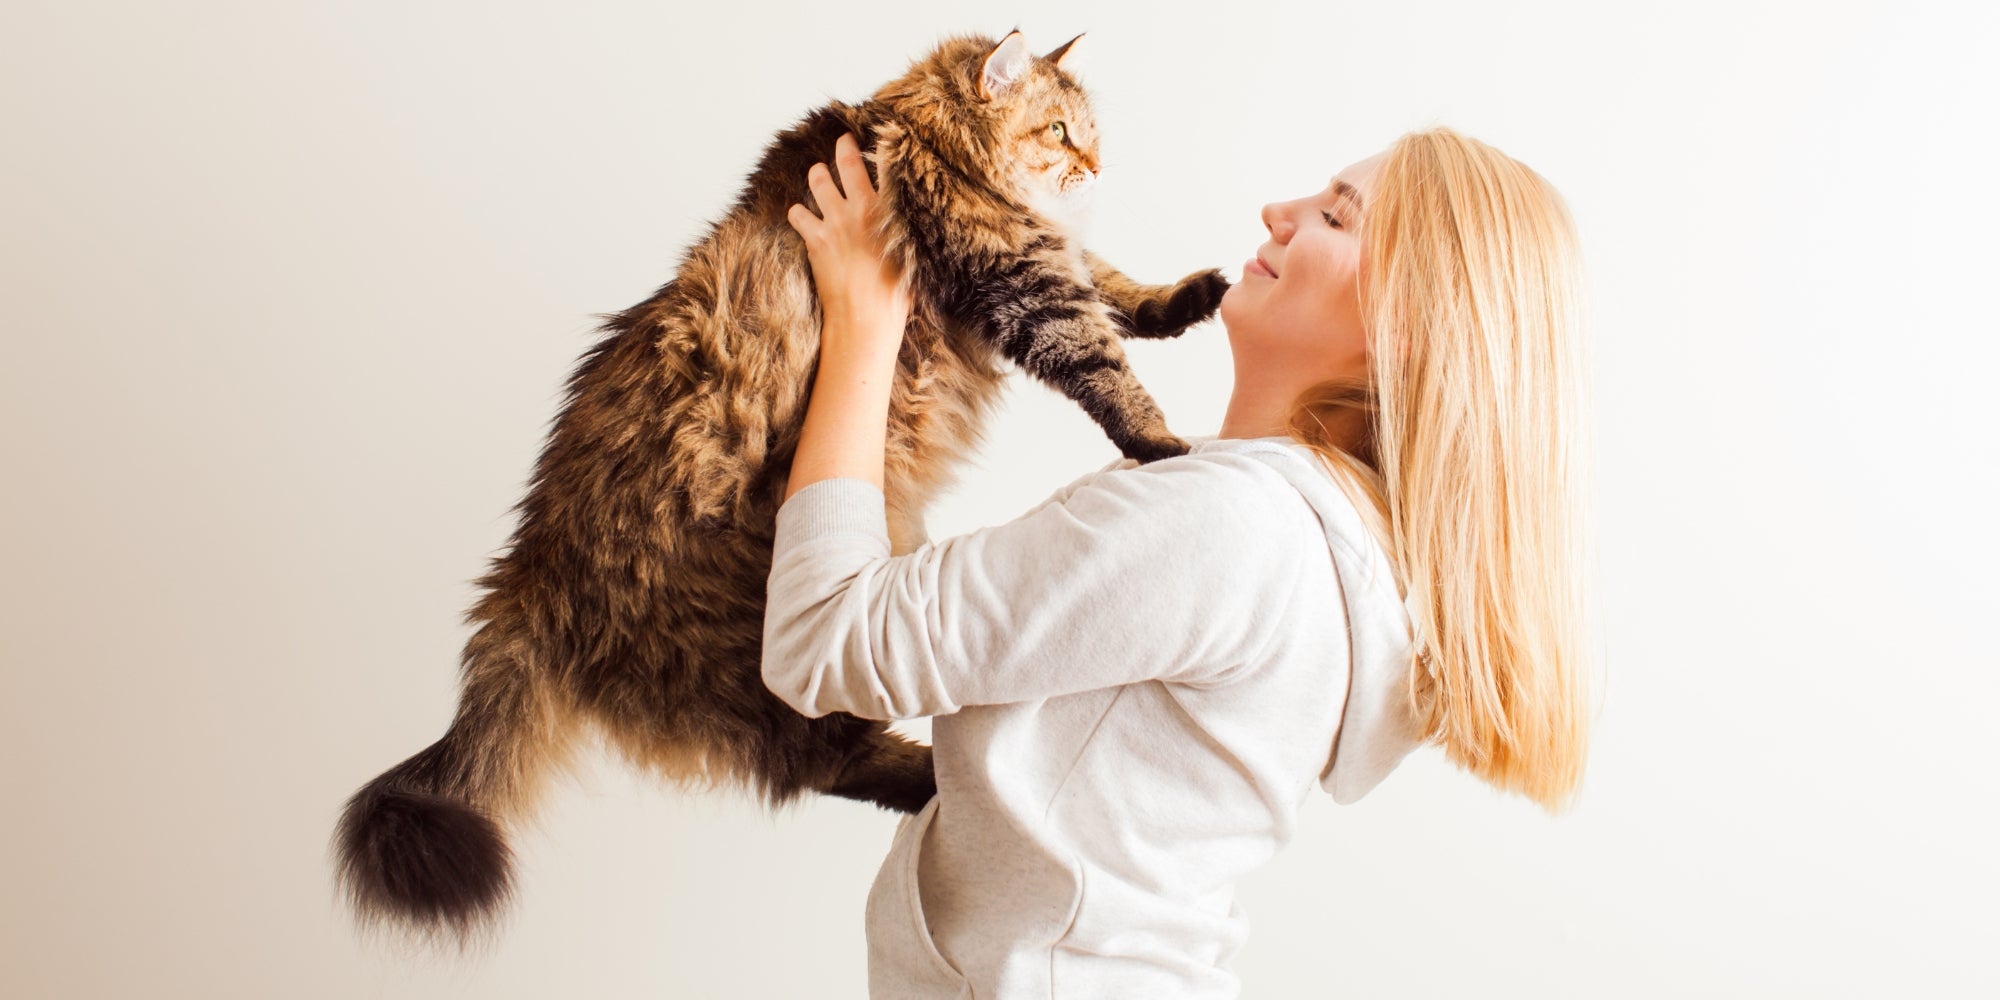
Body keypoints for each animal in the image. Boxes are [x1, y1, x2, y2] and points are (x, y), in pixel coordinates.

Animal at [336, 29, 1224, 944]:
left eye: (1088, 134)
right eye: (1057, 131)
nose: (1096, 166)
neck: (924, 142)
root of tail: (527, 573)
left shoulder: (1052, 257)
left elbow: (1117, 287)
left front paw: (1184, 301)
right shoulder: (1020, 281)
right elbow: (1106, 365)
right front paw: (1164, 446)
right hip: (765, 654)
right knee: (820, 762)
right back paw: (939, 783)